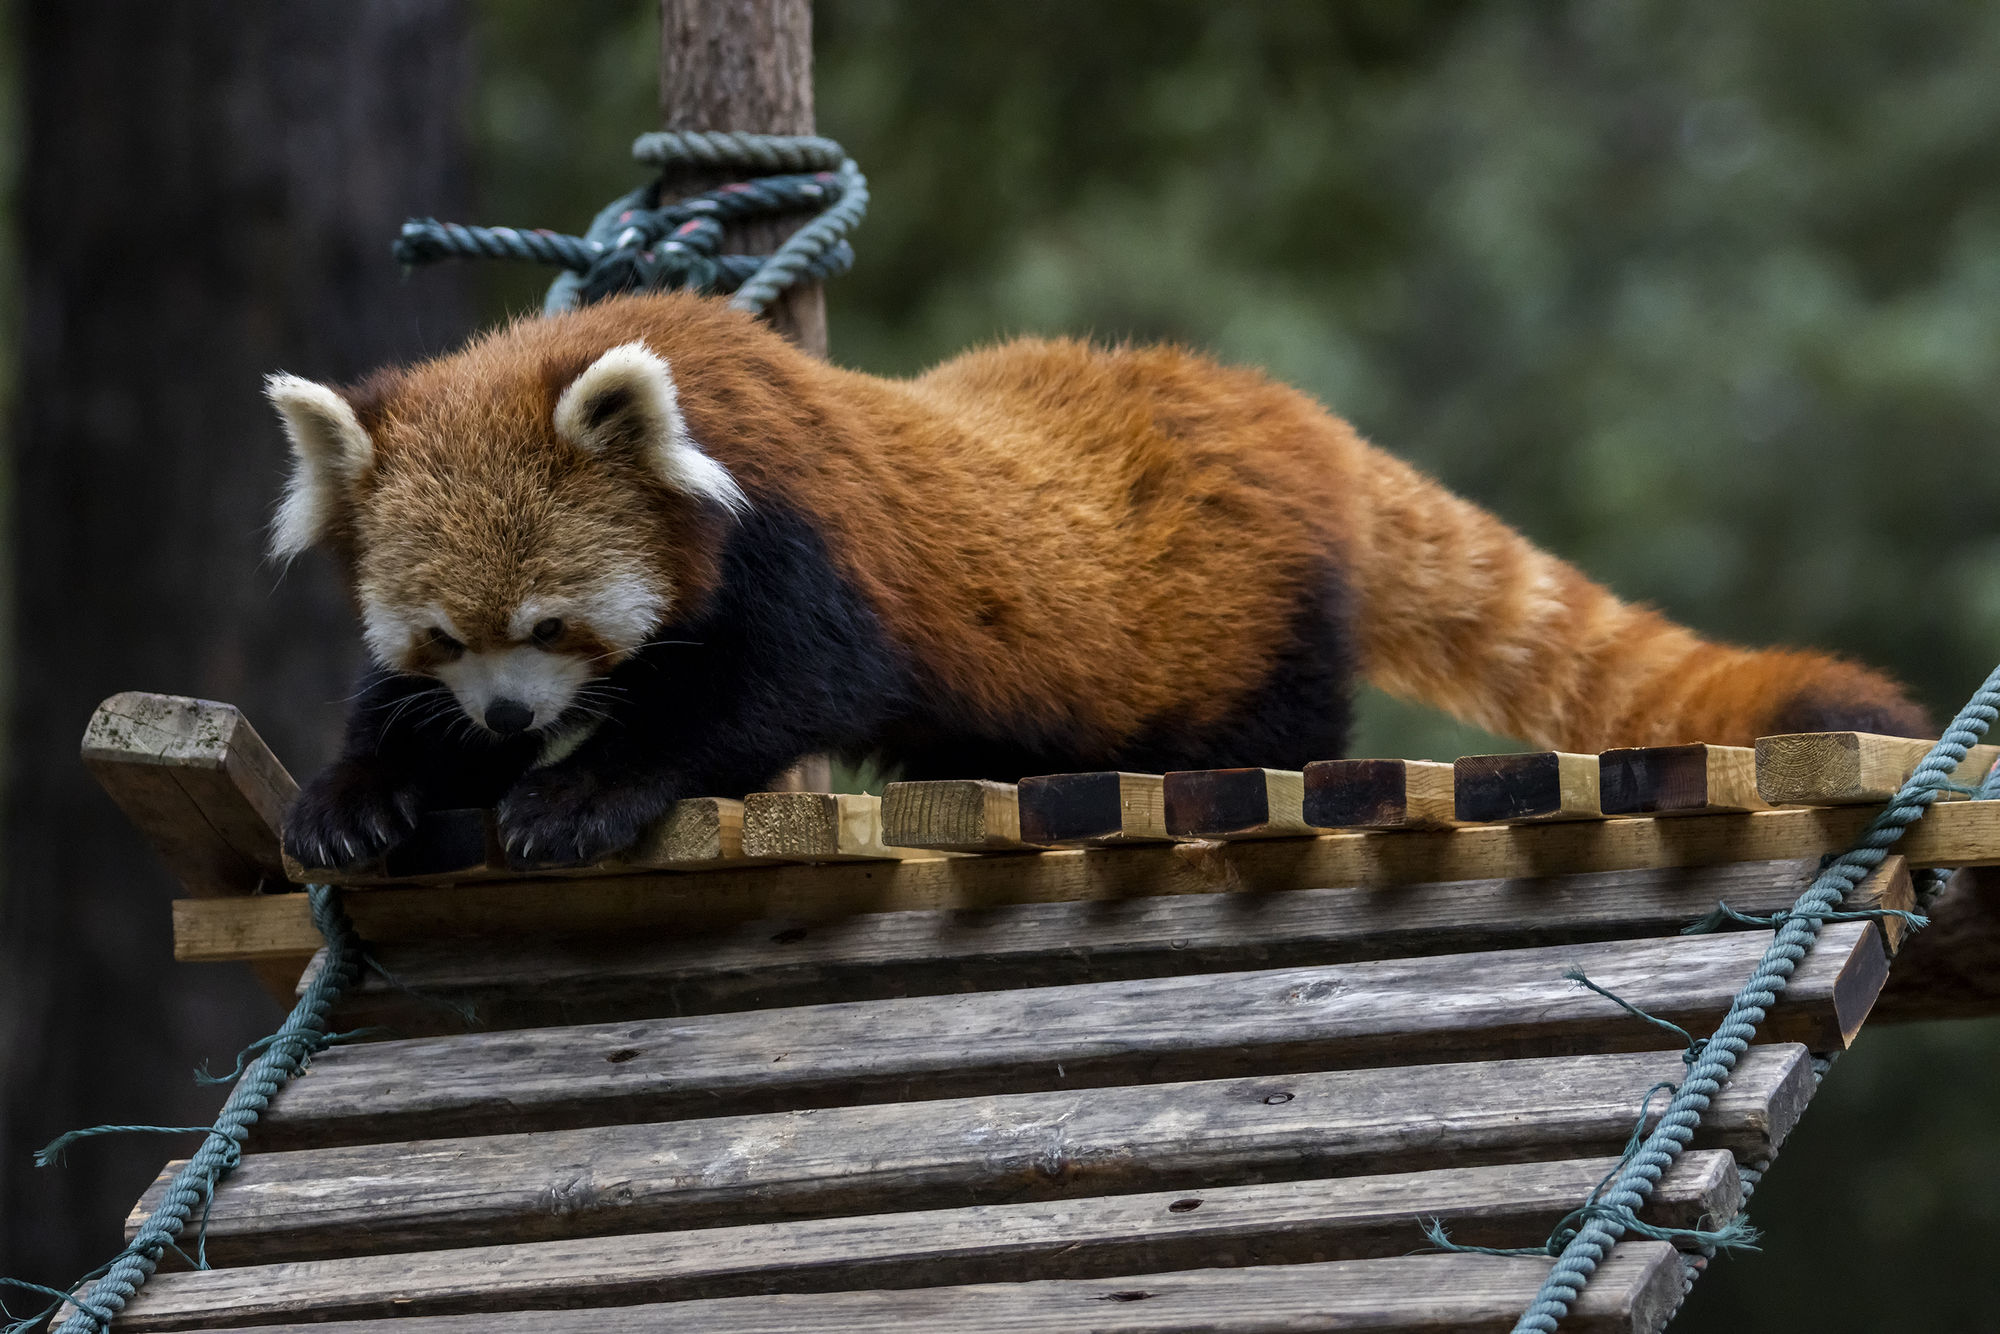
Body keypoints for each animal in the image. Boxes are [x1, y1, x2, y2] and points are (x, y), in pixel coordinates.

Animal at [274, 288, 1928, 868]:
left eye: (556, 623)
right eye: (443, 637)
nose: (505, 722)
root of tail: (1280, 408)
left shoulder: (810, 553)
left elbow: (761, 697)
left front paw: (585, 789)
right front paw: (363, 792)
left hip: (1246, 619)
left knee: (1268, 719)